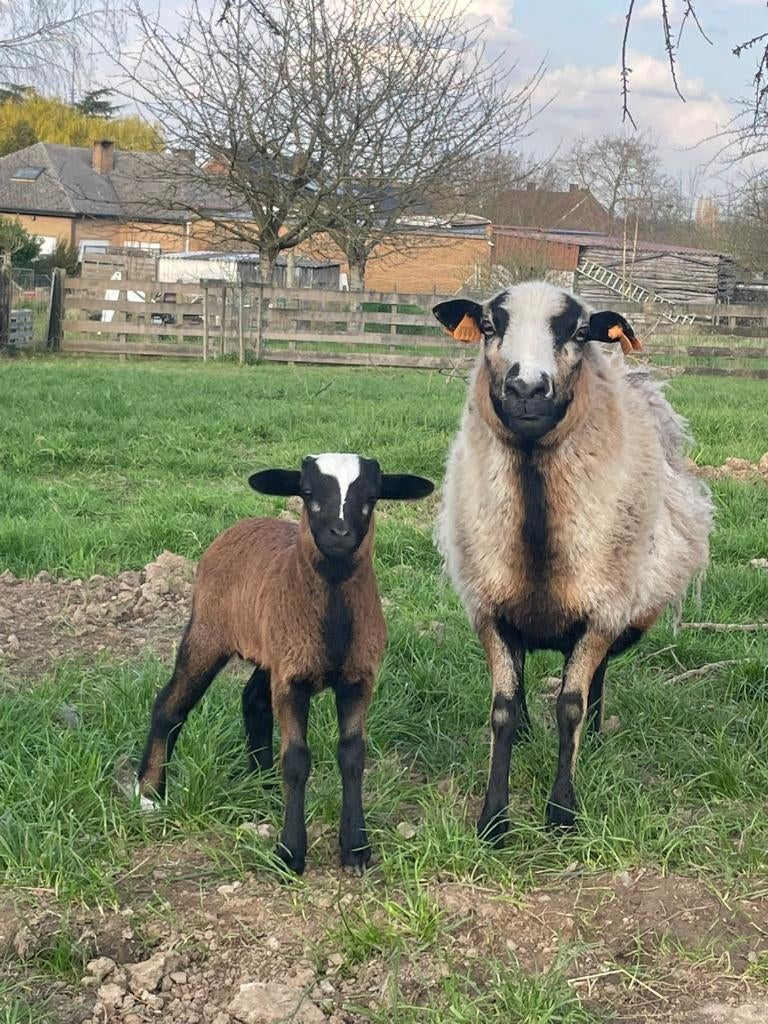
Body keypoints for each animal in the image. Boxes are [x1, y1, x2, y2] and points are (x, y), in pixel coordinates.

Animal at [136, 453, 434, 874]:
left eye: (373, 496)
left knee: (253, 702)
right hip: (208, 632)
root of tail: (243, 524)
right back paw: (149, 794)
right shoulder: (292, 682)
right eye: (307, 493)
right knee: (169, 704)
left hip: (272, 652)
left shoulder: (357, 678)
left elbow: (352, 755)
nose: (339, 533)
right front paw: (290, 852)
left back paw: (263, 788)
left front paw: (355, 849)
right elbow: (296, 760)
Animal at [432, 280, 713, 837]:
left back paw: (599, 737)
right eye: (489, 326)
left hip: (624, 613)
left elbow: (570, 707)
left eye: (581, 332)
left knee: (596, 677)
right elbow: (501, 708)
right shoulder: (490, 609)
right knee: (522, 680)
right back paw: (526, 732)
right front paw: (494, 819)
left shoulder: (601, 613)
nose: (526, 390)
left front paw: (561, 813)